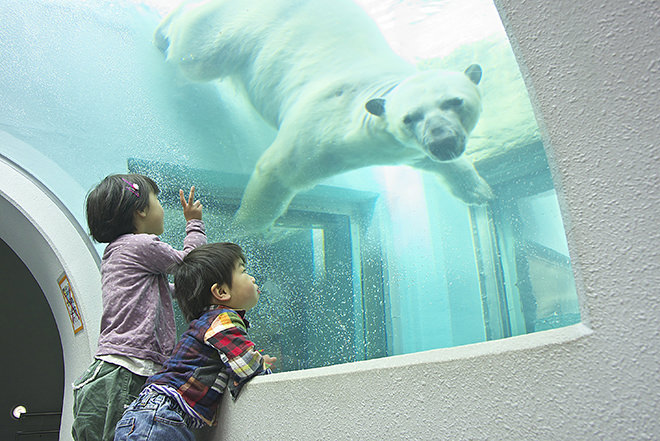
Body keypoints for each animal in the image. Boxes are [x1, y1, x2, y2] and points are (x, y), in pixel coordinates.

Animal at [157, 0, 492, 234]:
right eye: (409, 117)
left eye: (455, 101)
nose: (443, 142)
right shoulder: (325, 126)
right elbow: (279, 169)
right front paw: (243, 227)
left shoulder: (402, 149)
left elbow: (431, 162)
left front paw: (479, 190)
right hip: (241, 24)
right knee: (198, 51)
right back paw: (164, 28)